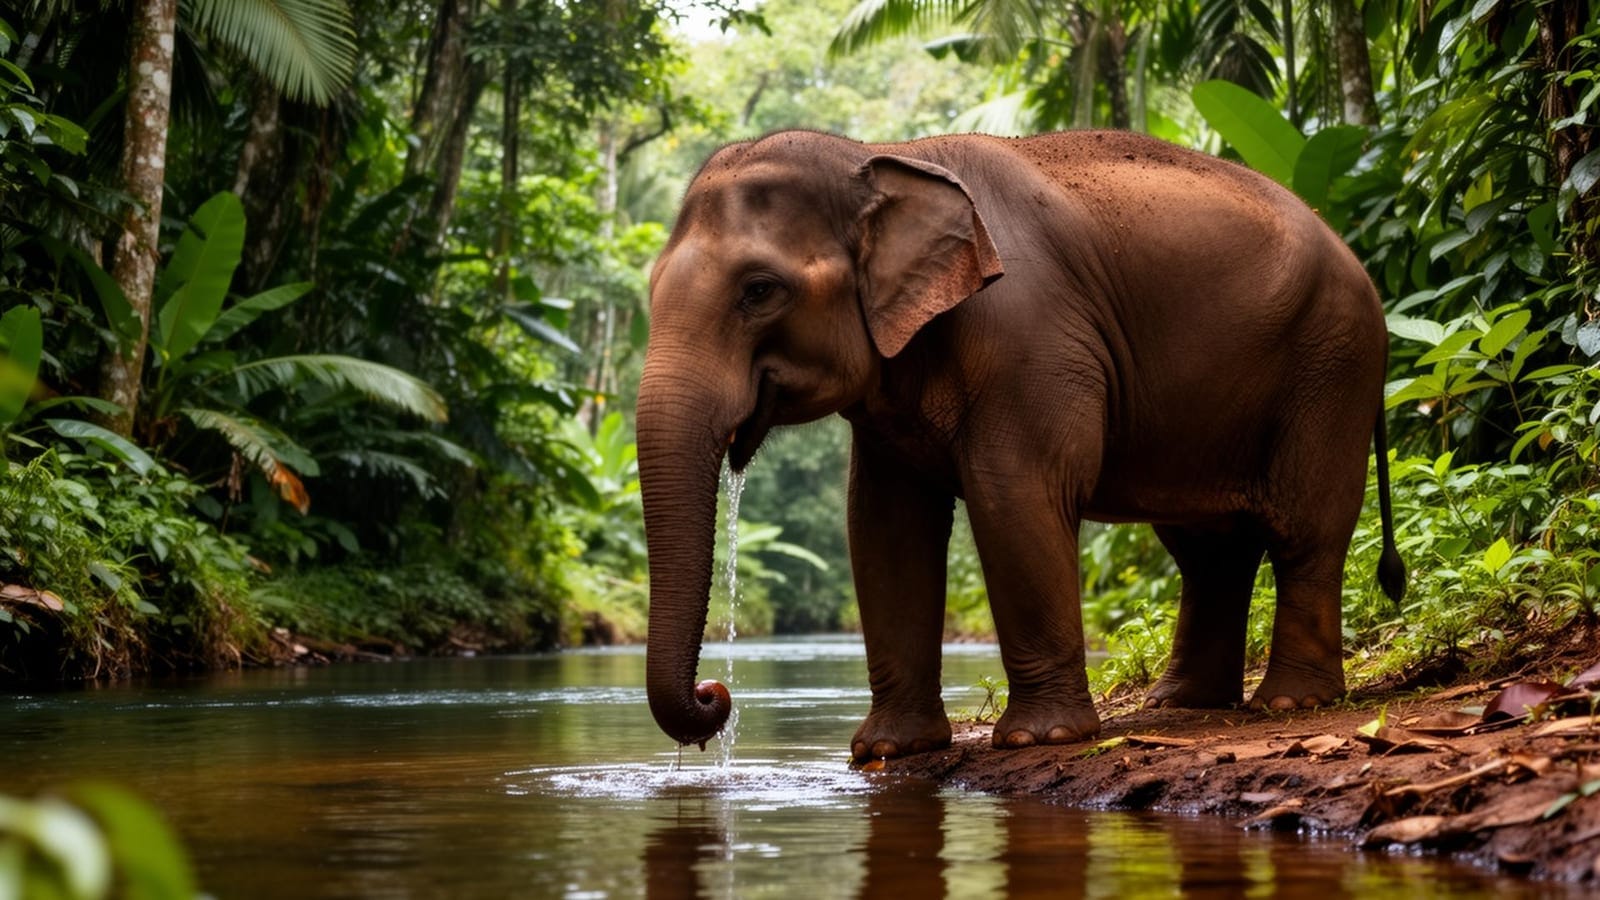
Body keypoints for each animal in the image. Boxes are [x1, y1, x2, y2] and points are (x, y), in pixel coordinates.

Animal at [636, 128, 1405, 763]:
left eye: (759, 290)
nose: (715, 695)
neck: (884, 154)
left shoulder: (1028, 338)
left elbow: (1016, 494)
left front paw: (1042, 738)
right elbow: (884, 523)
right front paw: (887, 750)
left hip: (1331, 366)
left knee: (1303, 531)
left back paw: (1293, 701)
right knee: (1209, 549)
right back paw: (1183, 702)